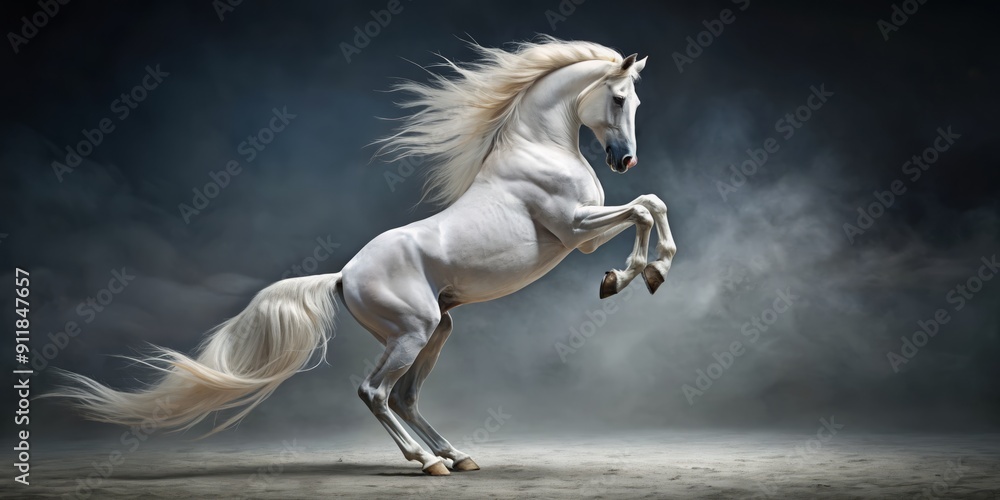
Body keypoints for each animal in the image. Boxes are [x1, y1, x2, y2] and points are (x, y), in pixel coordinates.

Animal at [48, 38, 677, 476]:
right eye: (618, 98)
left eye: (637, 100)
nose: (624, 160)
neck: (538, 150)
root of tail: (344, 275)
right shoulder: (577, 229)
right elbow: (645, 210)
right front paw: (630, 276)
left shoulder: (585, 226)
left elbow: (651, 204)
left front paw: (648, 270)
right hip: (412, 331)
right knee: (375, 393)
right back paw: (428, 463)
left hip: (436, 328)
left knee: (404, 395)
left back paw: (458, 456)